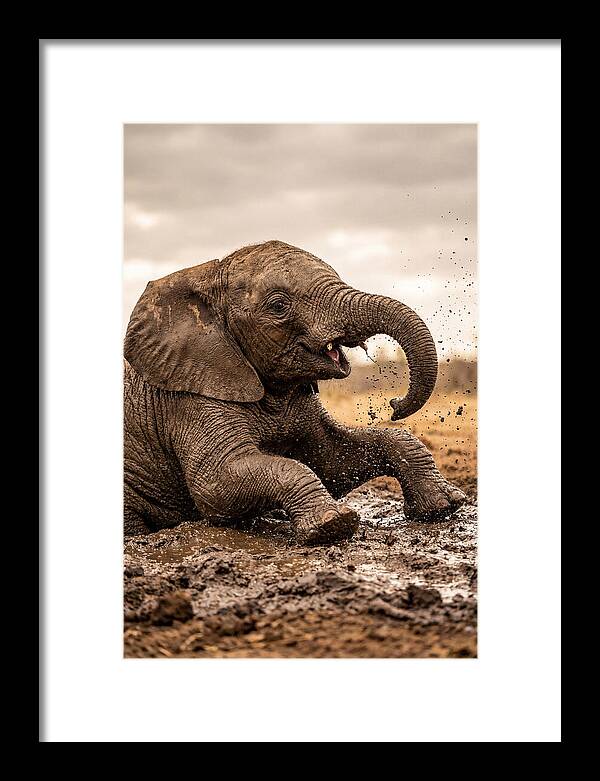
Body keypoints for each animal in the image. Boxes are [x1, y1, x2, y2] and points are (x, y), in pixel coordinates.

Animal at [124, 240, 466, 544]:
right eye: (278, 306)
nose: (394, 404)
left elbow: (332, 460)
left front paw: (444, 506)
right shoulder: (190, 398)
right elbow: (215, 486)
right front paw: (333, 524)